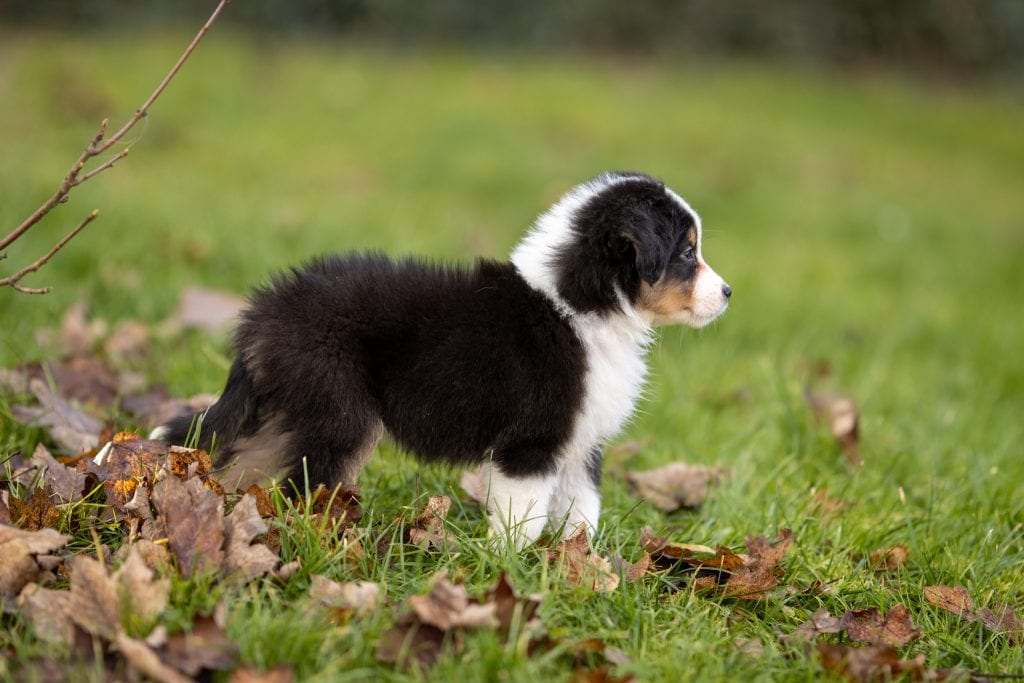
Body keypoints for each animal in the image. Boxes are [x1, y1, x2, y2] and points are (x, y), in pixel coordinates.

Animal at [152, 172, 730, 547]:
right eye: (686, 252)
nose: (728, 293)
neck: (581, 305)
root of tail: (261, 316)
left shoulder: (580, 444)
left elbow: (581, 512)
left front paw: (578, 569)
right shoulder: (530, 444)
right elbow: (523, 518)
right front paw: (509, 572)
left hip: (291, 409)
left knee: (240, 463)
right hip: (341, 413)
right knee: (306, 486)